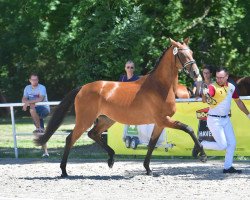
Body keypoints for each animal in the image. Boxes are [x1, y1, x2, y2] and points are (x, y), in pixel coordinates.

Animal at [35, 38, 207, 177]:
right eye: (182, 55)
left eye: (191, 52)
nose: (195, 73)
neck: (160, 87)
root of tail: (83, 87)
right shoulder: (163, 120)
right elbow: (189, 129)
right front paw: (201, 154)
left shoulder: (160, 122)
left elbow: (152, 144)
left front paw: (148, 169)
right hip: (85, 120)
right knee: (71, 138)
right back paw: (64, 171)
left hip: (106, 120)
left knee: (93, 134)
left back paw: (111, 158)